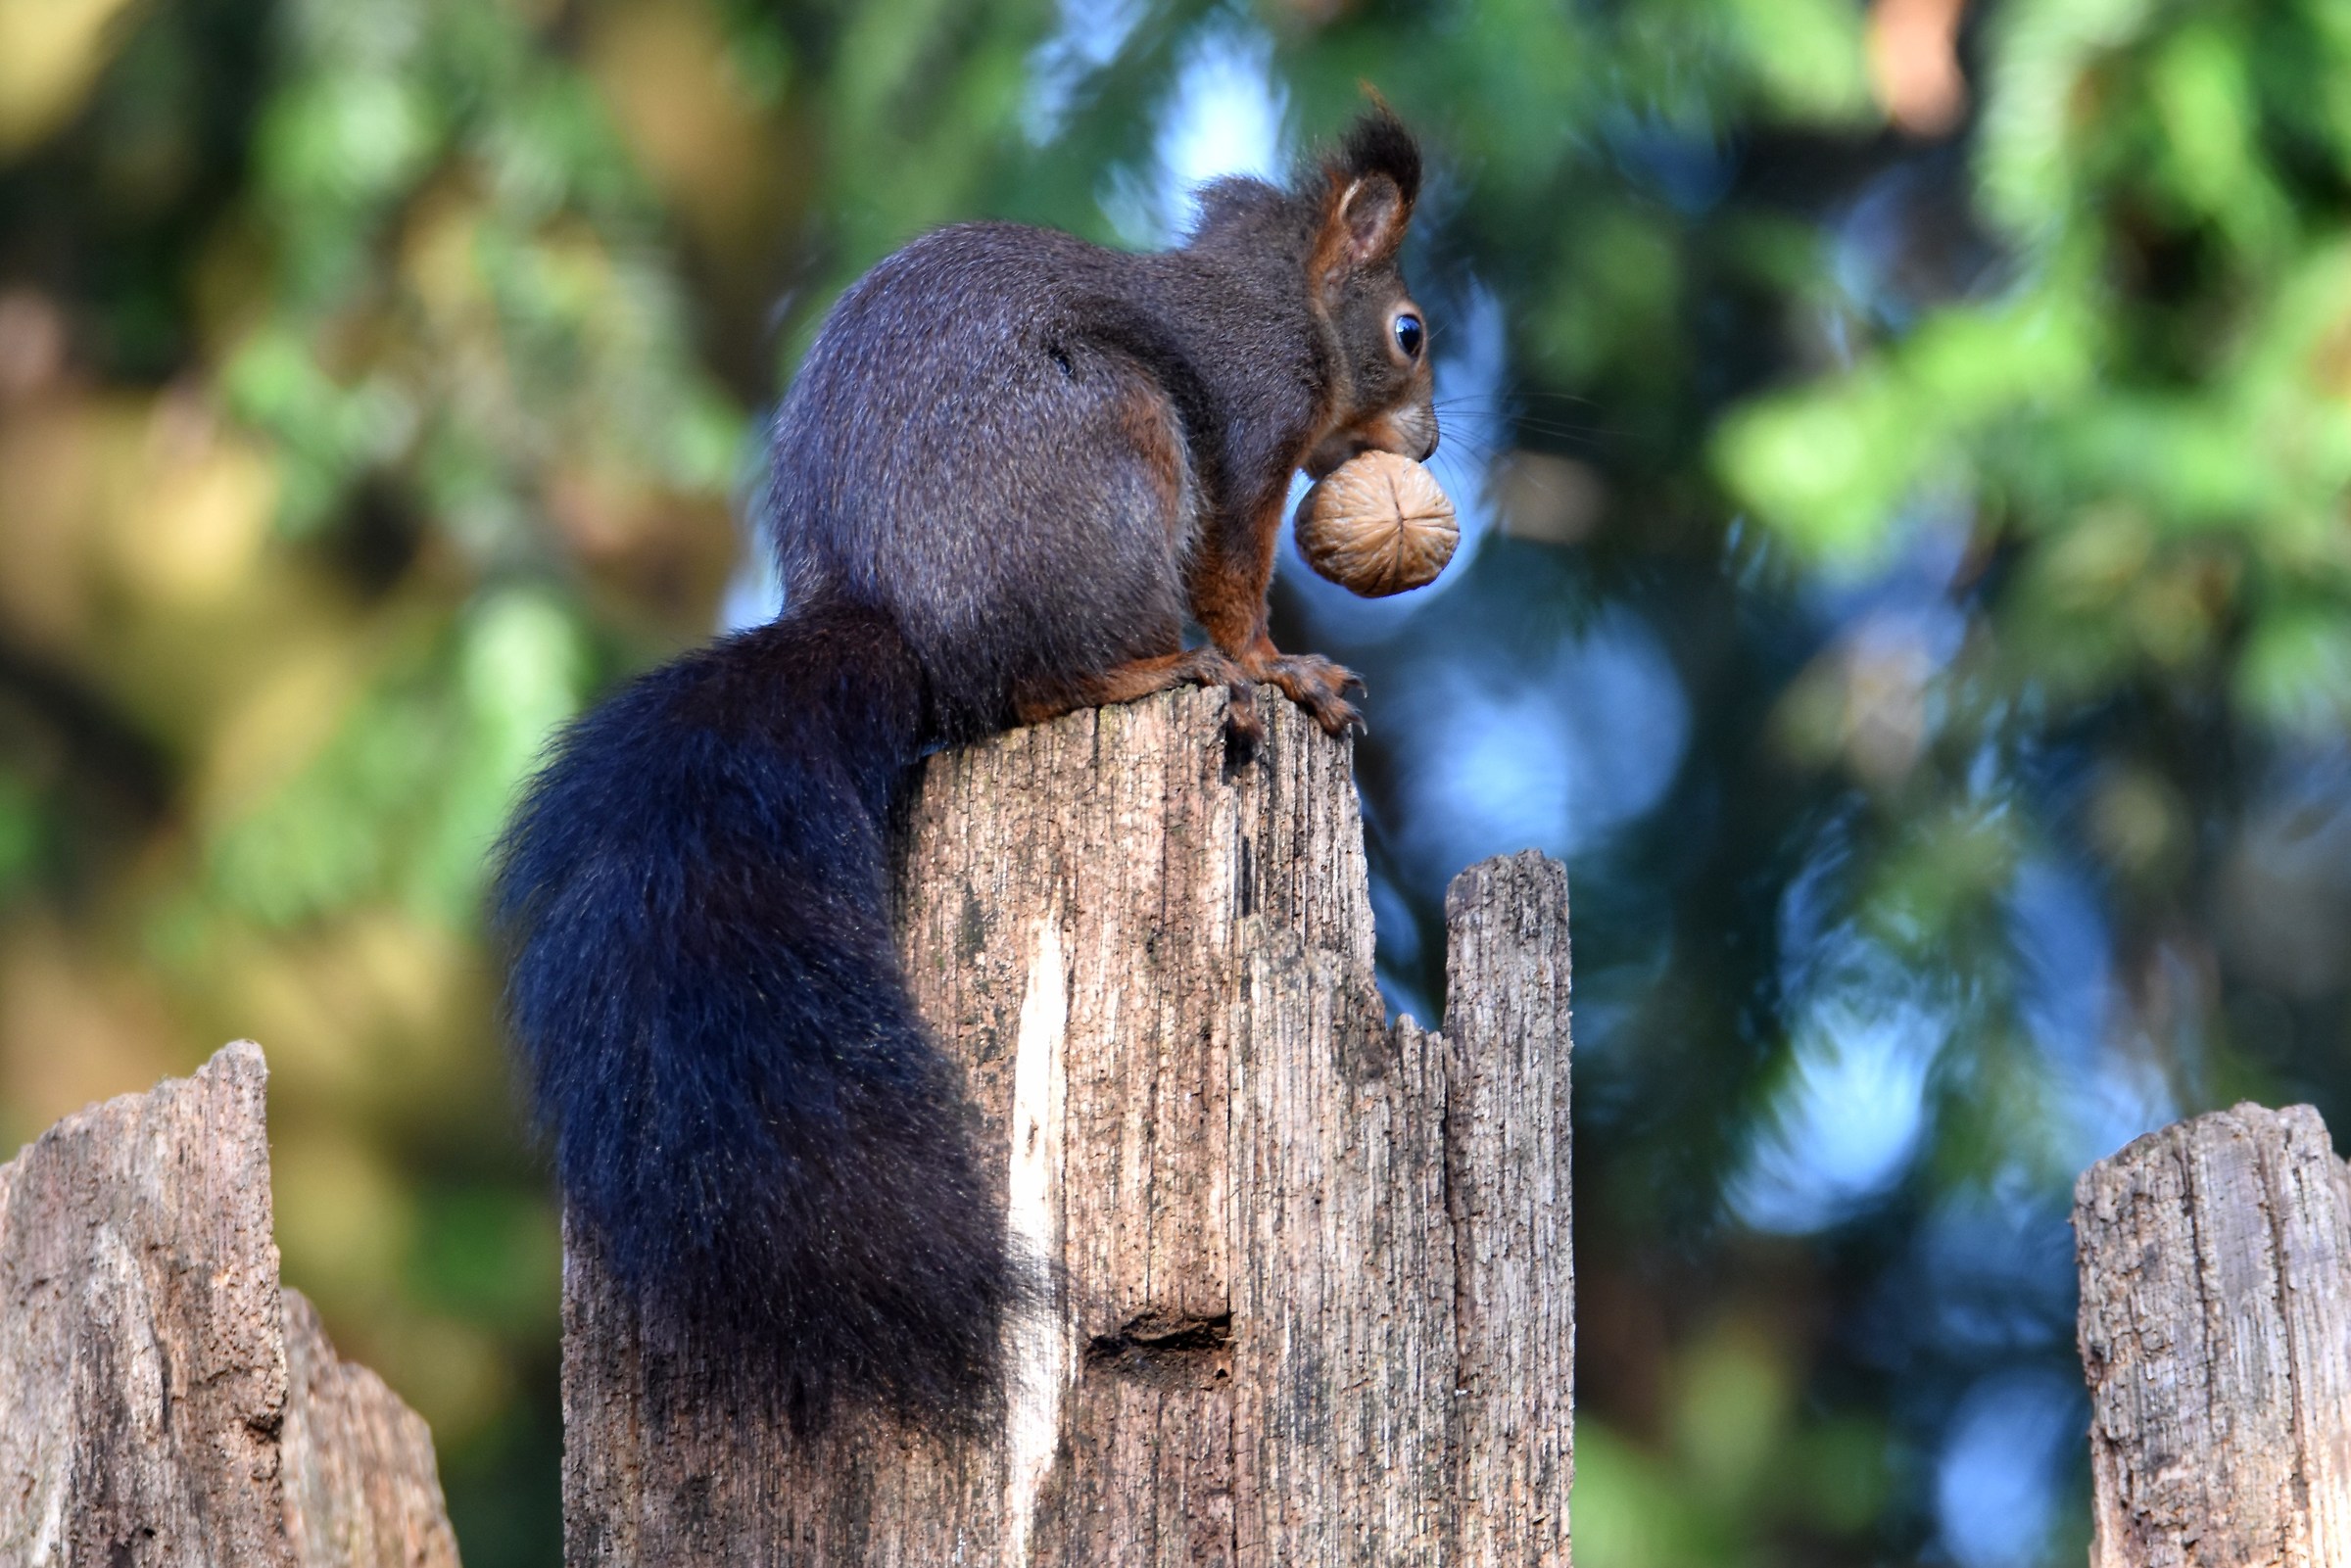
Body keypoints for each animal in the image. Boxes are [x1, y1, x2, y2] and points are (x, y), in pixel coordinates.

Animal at [491, 107, 1436, 1432]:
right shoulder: (1251, 429)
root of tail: (896, 622)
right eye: (1409, 332)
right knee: (1044, 684)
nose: (1434, 439)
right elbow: (1233, 578)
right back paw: (1160, 672)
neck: (1278, 290)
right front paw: (1280, 665)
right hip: (1116, 441)